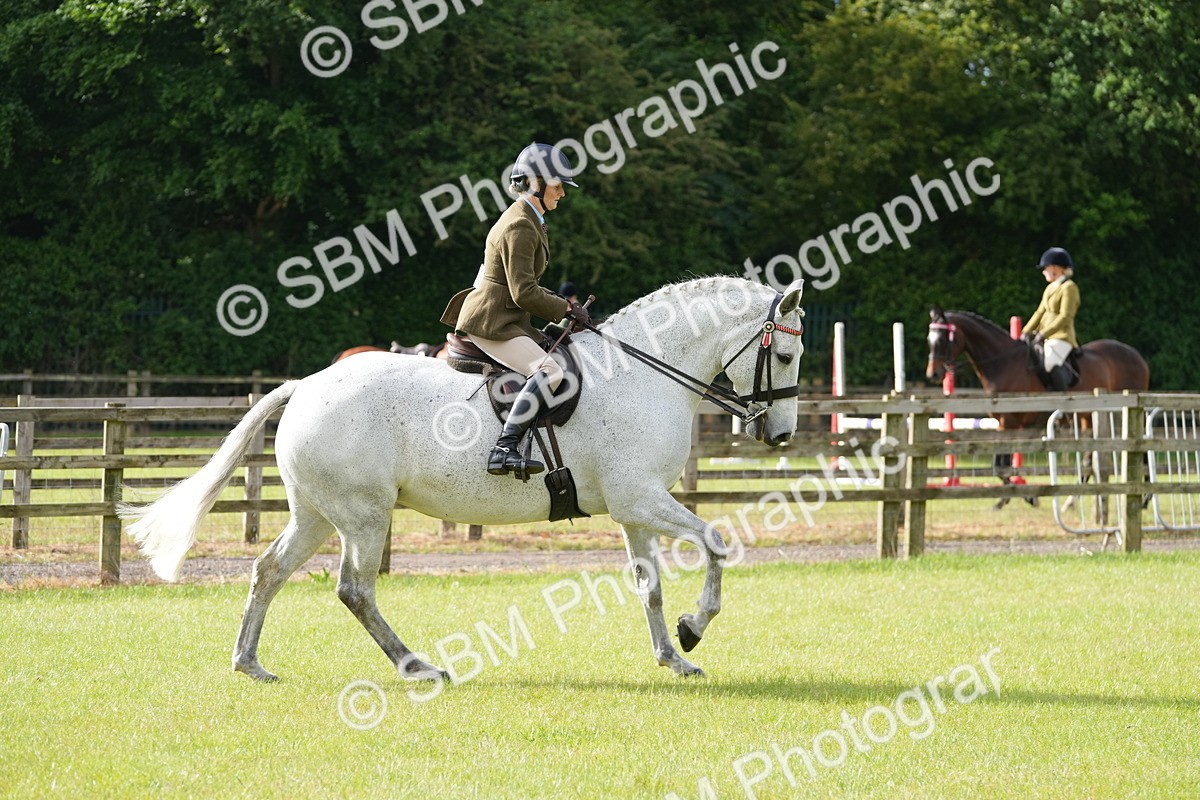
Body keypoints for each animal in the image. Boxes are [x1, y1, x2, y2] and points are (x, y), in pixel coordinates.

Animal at [120, 277, 806, 682]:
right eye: (787, 353)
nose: (779, 435)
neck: (645, 372)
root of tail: (306, 384)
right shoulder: (642, 498)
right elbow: (715, 543)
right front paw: (695, 629)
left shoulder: (634, 507)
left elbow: (650, 586)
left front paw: (672, 654)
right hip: (364, 515)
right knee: (354, 589)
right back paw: (416, 665)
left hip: (316, 513)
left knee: (268, 571)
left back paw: (249, 663)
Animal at [926, 306, 1149, 510]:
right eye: (930, 340)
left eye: (943, 340)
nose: (933, 374)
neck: (1003, 363)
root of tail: (1137, 355)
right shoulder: (1003, 424)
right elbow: (999, 465)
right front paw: (1006, 498)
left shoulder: (1011, 423)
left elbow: (1001, 465)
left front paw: (1028, 497)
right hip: (1088, 417)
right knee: (1090, 456)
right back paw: (1072, 500)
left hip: (1123, 413)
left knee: (1142, 449)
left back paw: (1145, 498)